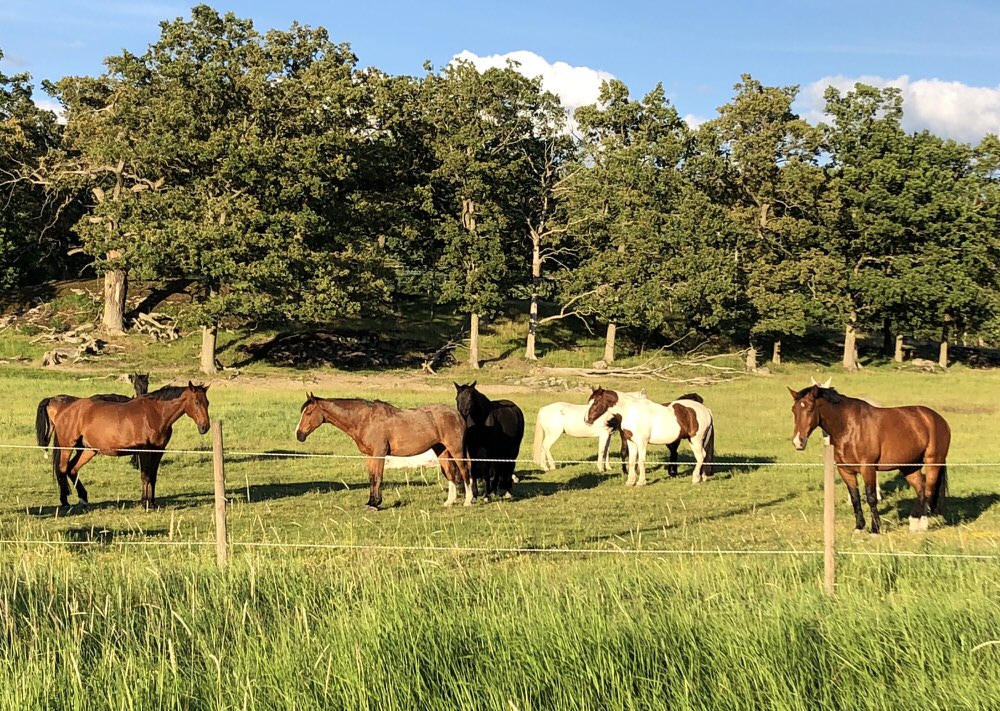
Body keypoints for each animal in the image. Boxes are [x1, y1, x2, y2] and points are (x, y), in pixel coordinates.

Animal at [46, 384, 210, 512]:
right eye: (196, 402)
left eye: (207, 402)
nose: (205, 427)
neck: (155, 414)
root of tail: (64, 409)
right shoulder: (144, 452)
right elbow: (145, 476)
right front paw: (146, 504)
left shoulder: (158, 452)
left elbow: (153, 477)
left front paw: (152, 503)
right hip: (67, 447)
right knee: (62, 469)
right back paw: (65, 502)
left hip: (88, 450)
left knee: (72, 469)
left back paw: (83, 498)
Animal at [292, 394, 472, 512]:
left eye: (308, 413)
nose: (299, 435)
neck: (365, 420)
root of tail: (457, 414)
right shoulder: (369, 456)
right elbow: (372, 478)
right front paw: (371, 502)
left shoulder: (379, 454)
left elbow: (378, 477)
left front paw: (376, 503)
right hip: (442, 451)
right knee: (451, 474)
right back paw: (449, 502)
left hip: (456, 450)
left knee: (464, 471)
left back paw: (468, 501)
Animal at [584, 386, 716, 486]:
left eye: (595, 402)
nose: (586, 420)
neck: (631, 412)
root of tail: (706, 410)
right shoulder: (631, 442)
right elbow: (631, 461)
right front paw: (630, 481)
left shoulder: (642, 442)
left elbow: (641, 461)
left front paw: (641, 482)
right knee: (704, 456)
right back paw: (702, 477)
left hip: (695, 440)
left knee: (700, 456)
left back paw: (695, 478)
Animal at [784, 384, 948, 536]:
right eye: (794, 410)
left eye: (810, 409)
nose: (798, 442)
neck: (848, 426)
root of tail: (936, 418)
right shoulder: (845, 471)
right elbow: (855, 498)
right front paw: (859, 527)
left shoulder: (867, 468)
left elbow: (871, 497)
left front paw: (875, 529)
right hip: (909, 466)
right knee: (920, 488)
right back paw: (914, 522)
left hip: (933, 462)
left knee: (928, 489)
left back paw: (923, 525)